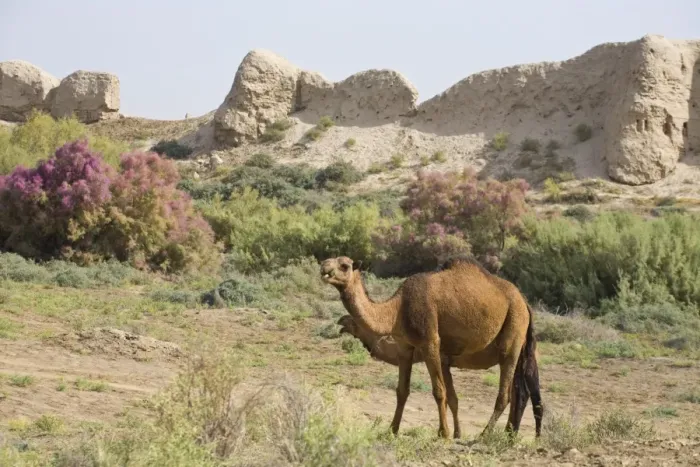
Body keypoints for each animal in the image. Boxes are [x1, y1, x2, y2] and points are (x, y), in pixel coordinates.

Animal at [320, 255, 543, 439]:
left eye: (345, 265)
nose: (324, 267)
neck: (397, 309)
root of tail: (525, 302)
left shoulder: (431, 343)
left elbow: (440, 392)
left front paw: (444, 433)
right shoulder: (406, 347)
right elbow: (403, 391)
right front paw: (392, 430)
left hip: (513, 334)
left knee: (506, 394)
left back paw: (485, 435)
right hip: (519, 346)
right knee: (519, 392)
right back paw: (509, 436)